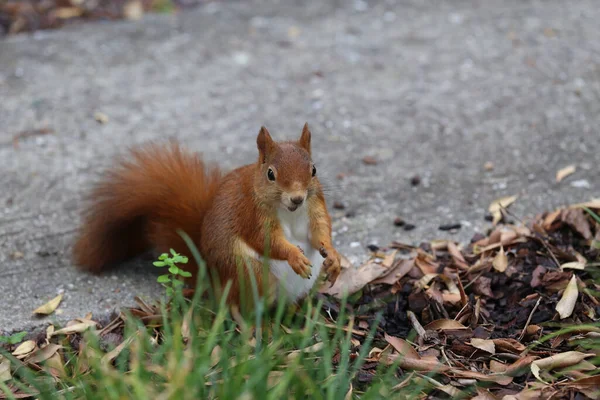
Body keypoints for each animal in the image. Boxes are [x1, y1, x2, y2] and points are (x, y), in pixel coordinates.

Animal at [72, 123, 340, 308]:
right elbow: (266, 241)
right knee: (240, 309)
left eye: (314, 169)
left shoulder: (314, 206)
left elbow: (320, 232)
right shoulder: (252, 215)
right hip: (249, 274)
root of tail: (215, 282)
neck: (290, 211)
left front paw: (334, 256)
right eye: (271, 174)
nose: (297, 198)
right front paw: (295, 256)